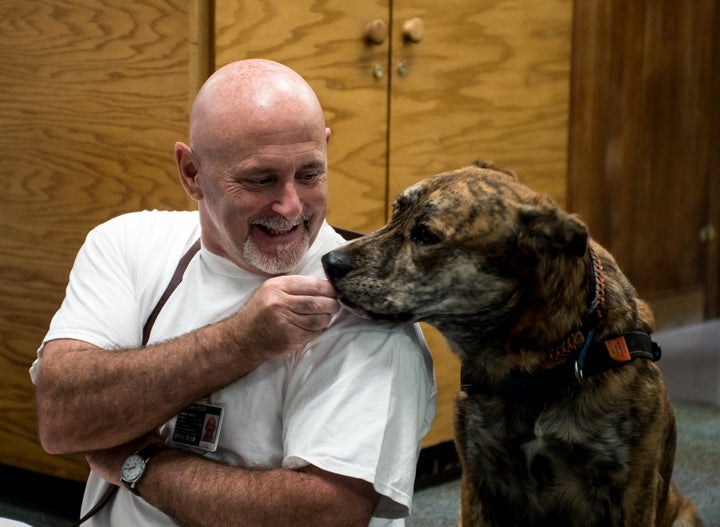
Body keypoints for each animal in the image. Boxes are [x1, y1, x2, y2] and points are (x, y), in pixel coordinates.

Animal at [320, 162, 704, 527]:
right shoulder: (479, 478)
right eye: (394, 211)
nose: (330, 262)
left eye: (426, 235)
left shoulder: (632, 489)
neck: (537, 366)